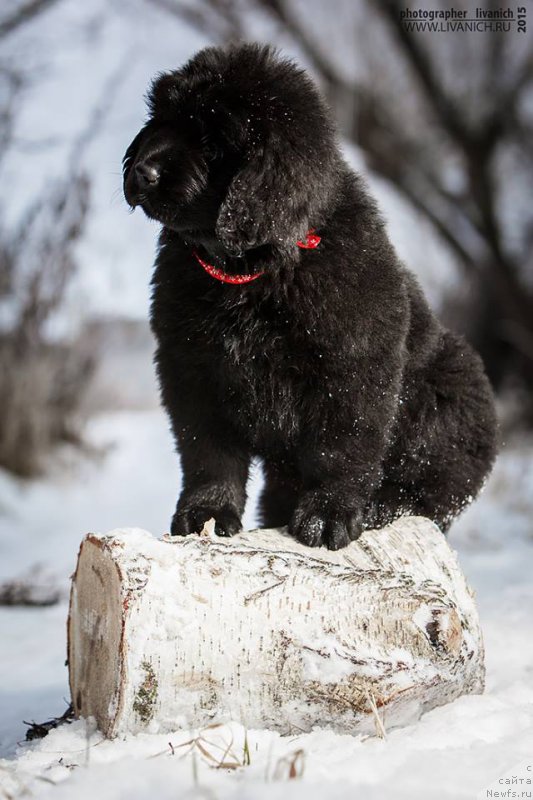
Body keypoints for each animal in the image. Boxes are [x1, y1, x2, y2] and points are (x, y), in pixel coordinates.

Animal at [122, 43, 496, 552]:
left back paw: (382, 507)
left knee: (433, 493)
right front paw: (205, 513)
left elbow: (340, 448)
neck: (252, 273)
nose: (142, 170)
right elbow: (208, 451)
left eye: (213, 143)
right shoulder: (193, 367)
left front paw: (328, 516)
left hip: (452, 392)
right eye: (162, 121)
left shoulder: (352, 366)